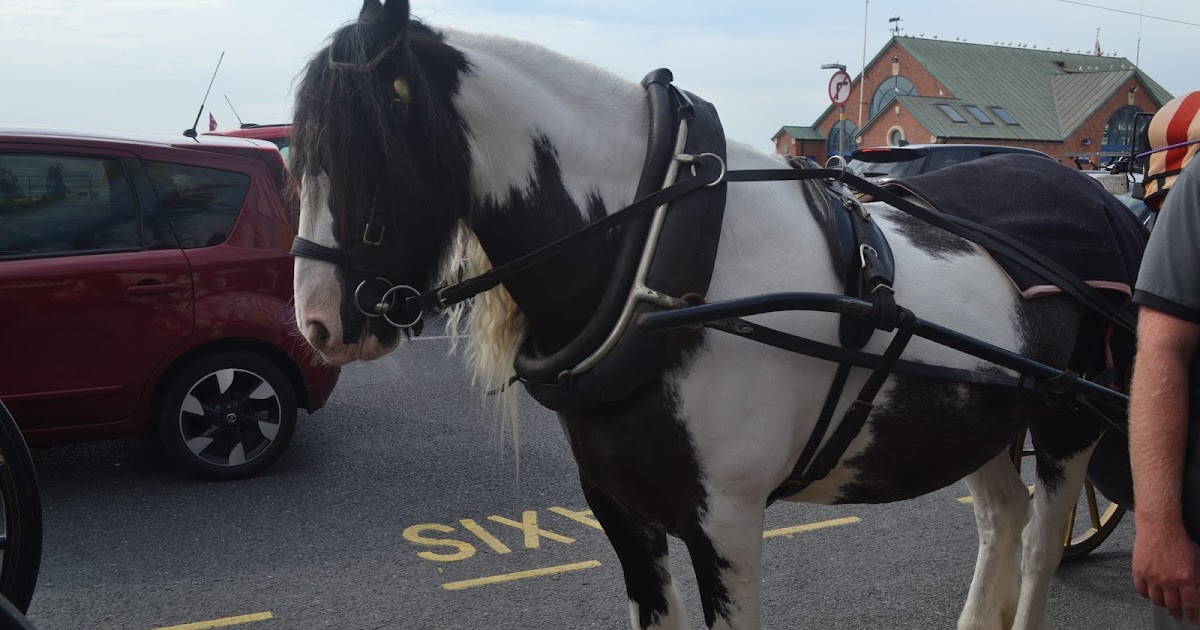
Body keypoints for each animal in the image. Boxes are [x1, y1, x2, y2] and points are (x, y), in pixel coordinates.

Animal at [287, 2, 1136, 628]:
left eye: (371, 145)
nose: (320, 324)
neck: (662, 267)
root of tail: (1096, 194)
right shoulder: (623, 513)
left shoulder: (727, 523)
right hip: (986, 420)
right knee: (1003, 519)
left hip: (1069, 419)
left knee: (1041, 544)